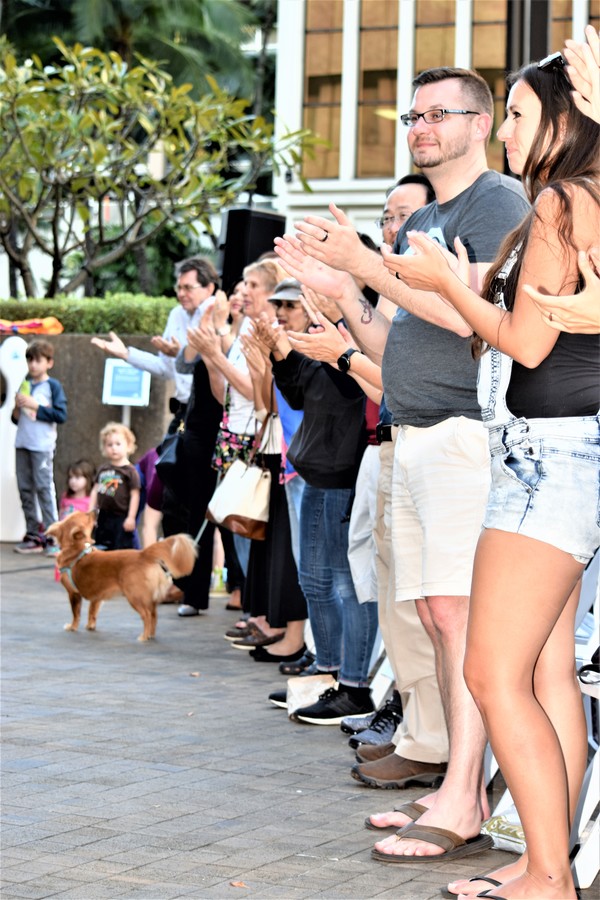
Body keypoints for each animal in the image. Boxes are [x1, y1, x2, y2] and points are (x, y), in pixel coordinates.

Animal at [47, 512, 197, 640]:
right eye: (87, 516)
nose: (96, 510)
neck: (76, 549)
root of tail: (143, 554)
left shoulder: (73, 594)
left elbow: (76, 614)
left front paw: (72, 627)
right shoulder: (97, 597)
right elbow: (92, 612)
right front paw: (90, 626)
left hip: (134, 597)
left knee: (147, 616)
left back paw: (143, 637)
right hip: (149, 600)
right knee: (154, 615)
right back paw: (151, 635)